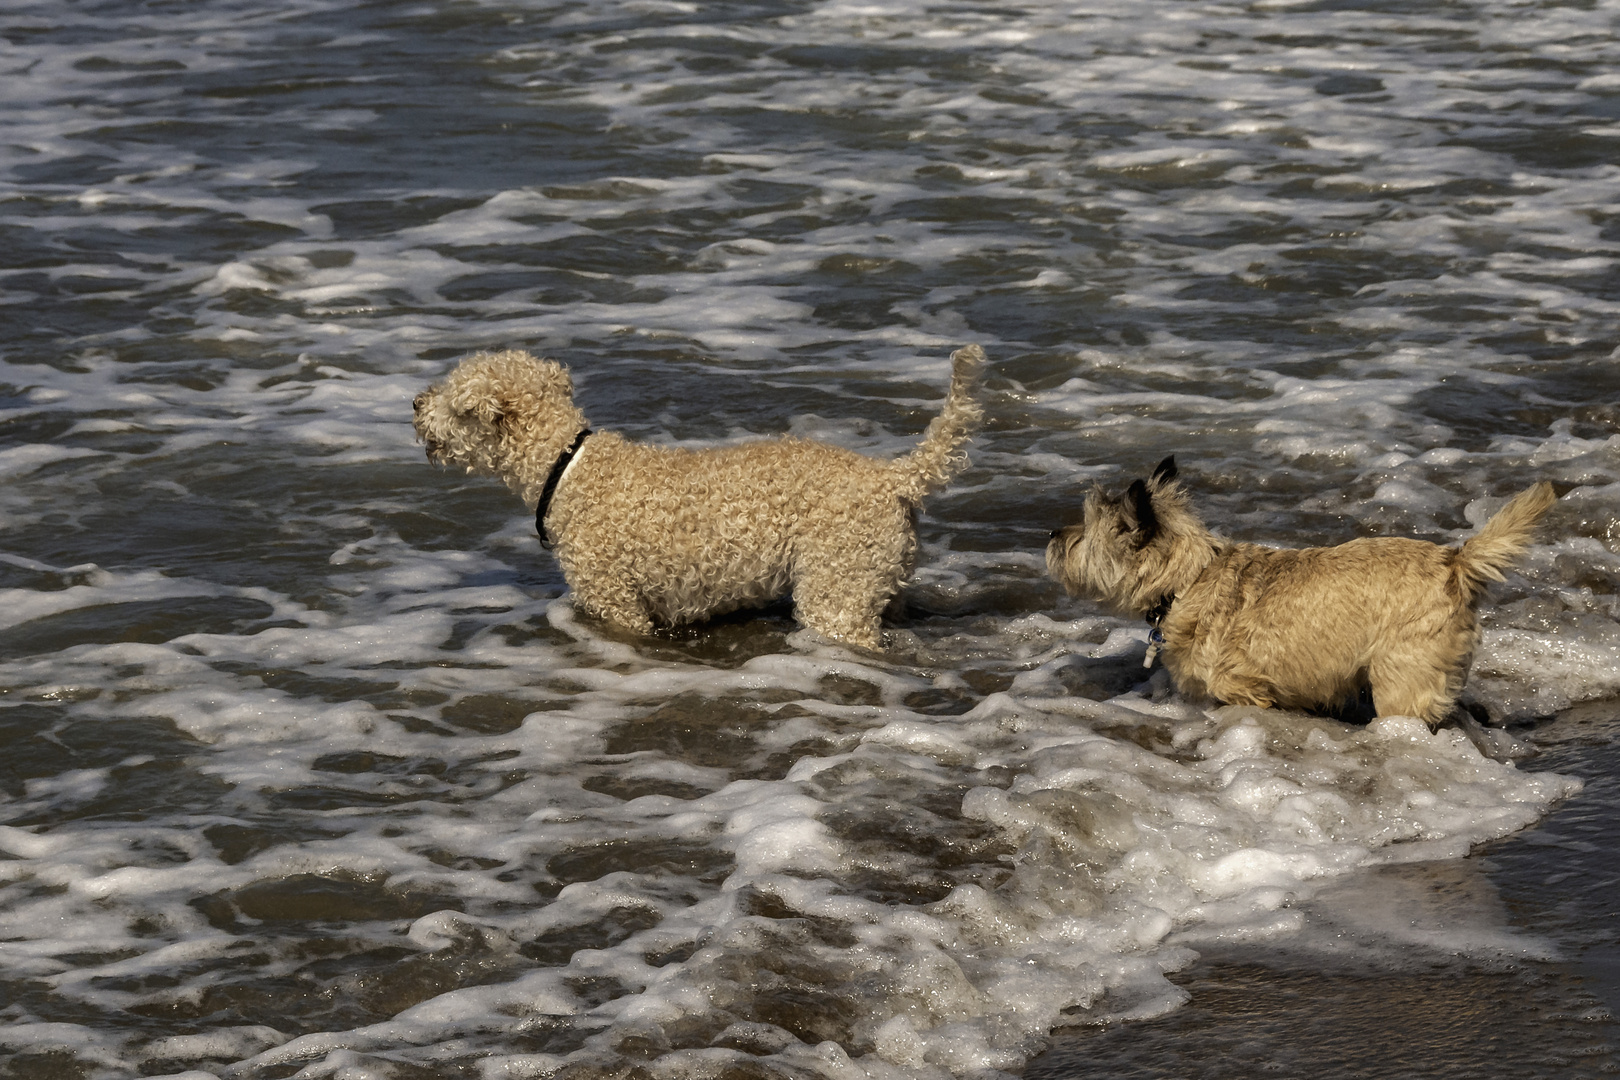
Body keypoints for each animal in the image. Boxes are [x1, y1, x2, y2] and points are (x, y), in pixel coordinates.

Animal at [411, 348, 978, 650]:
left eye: (452, 399)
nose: (415, 402)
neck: (567, 465)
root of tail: (893, 476)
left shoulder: (618, 604)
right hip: (881, 580)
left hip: (837, 592)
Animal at [1043, 459, 1561, 731]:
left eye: (1084, 530)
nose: (1050, 532)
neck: (1190, 578)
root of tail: (1455, 561)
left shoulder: (1242, 687)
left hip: (1402, 678)